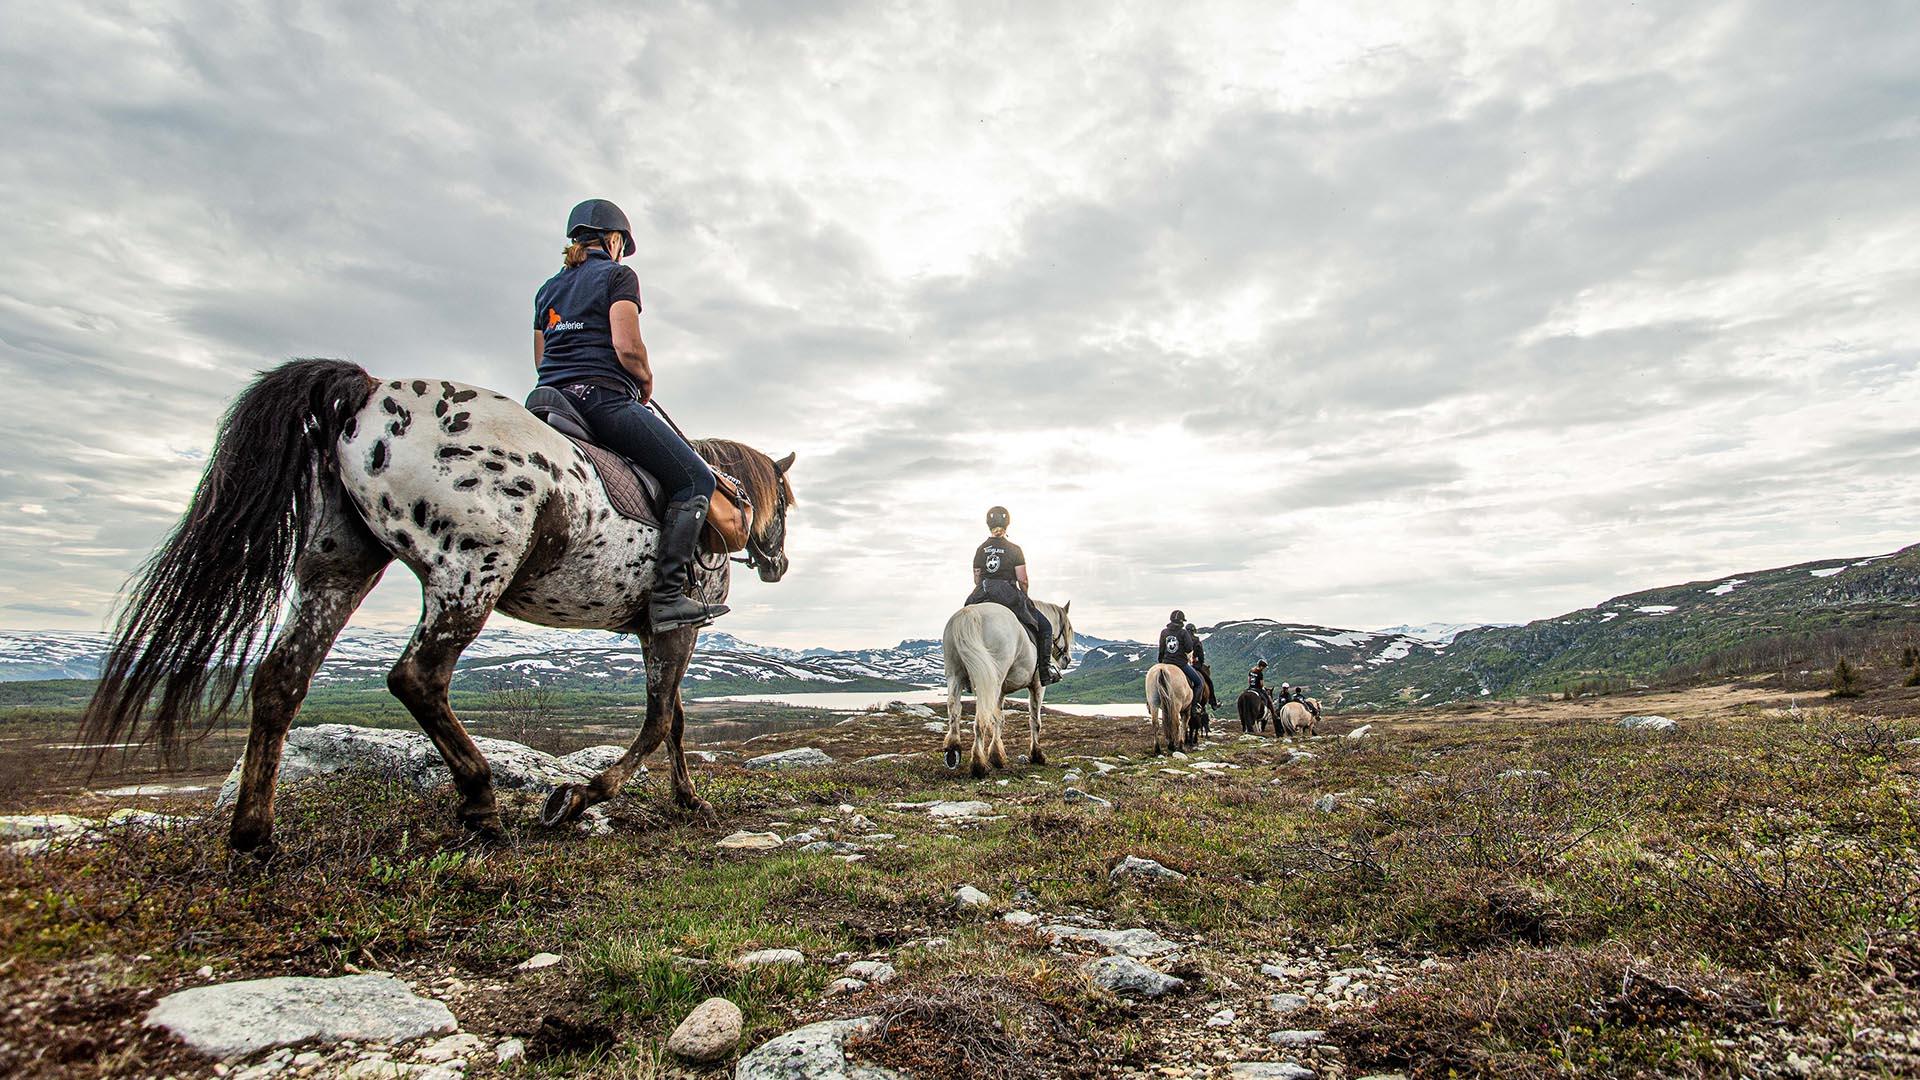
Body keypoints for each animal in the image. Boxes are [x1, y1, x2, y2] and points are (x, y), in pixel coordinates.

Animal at [80, 359, 794, 849]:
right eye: (786, 503)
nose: (779, 564)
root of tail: (367, 394)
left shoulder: (653, 632)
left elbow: (674, 720)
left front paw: (685, 800)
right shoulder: (677, 628)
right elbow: (658, 721)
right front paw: (577, 798)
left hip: (338, 569)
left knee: (282, 677)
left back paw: (255, 834)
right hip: (470, 573)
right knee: (417, 677)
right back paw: (480, 804)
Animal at [940, 595, 1075, 772]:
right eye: (1068, 629)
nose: (1067, 659)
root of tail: (969, 615)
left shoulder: (1002, 691)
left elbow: (999, 719)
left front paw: (997, 756)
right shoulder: (1038, 686)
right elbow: (1035, 720)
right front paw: (1037, 755)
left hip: (955, 676)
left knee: (954, 709)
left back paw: (952, 752)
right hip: (991, 681)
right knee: (981, 716)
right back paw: (978, 764)